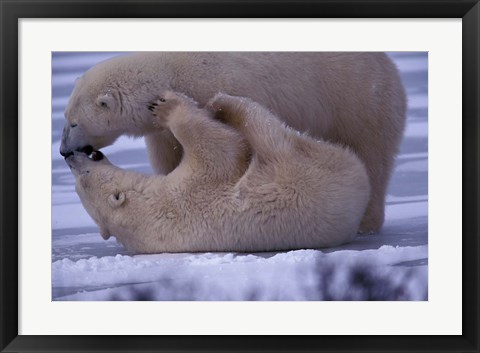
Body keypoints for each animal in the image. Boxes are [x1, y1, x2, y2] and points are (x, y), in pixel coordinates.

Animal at [60, 52, 404, 232]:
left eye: (74, 122)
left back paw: (366, 221)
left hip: (359, 101)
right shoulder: (159, 131)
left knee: (372, 154)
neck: (169, 74)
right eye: (65, 116)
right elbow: (168, 154)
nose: (63, 150)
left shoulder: (221, 86)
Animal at [65, 92, 370, 252]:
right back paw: (225, 103)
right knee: (267, 131)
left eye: (79, 180)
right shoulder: (192, 192)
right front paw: (167, 108)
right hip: (302, 173)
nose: (70, 157)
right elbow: (221, 149)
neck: (147, 212)